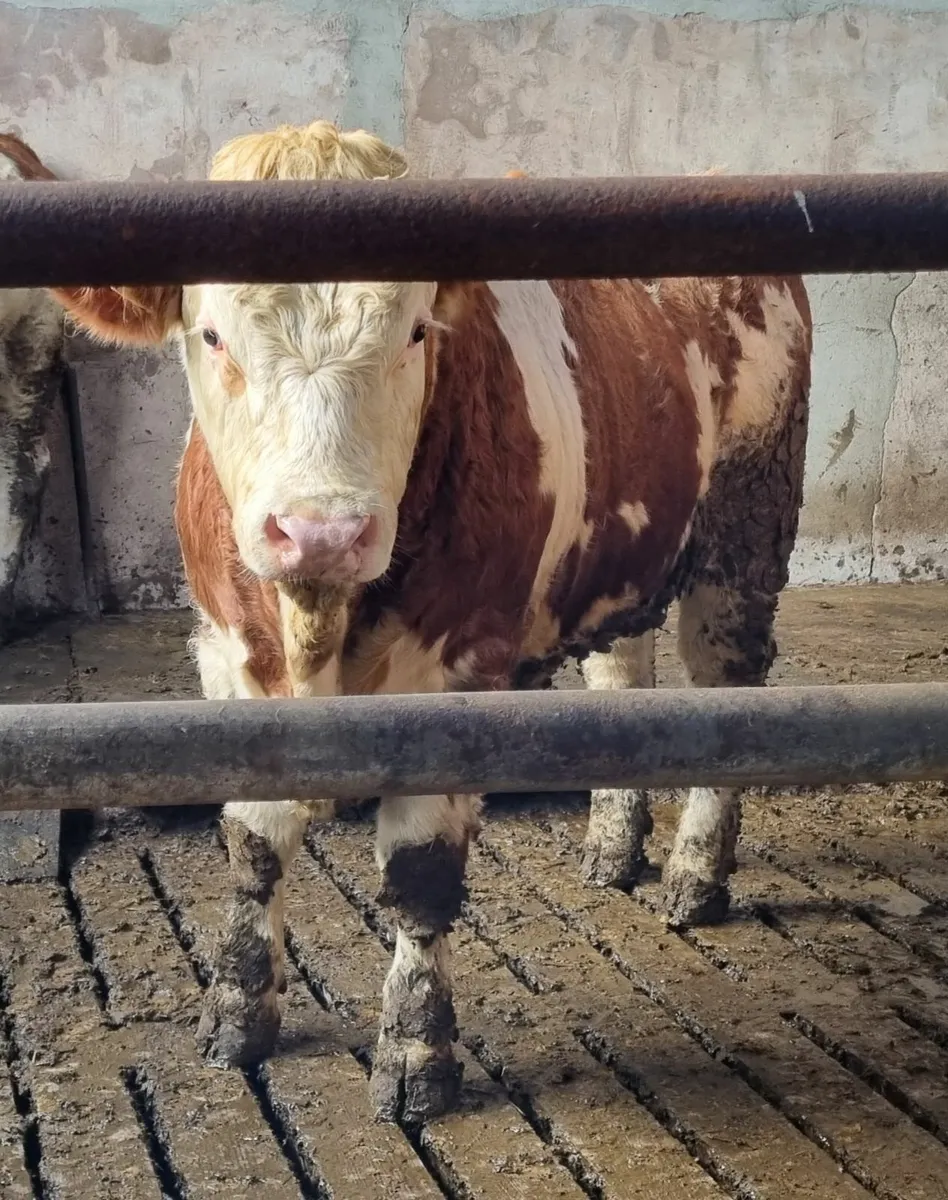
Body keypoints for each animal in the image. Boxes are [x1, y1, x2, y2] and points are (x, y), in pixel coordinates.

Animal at [52, 120, 812, 1124]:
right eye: (211, 333)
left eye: (414, 331)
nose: (322, 530)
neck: (315, 631)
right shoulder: (227, 656)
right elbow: (253, 848)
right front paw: (236, 1014)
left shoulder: (457, 673)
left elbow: (418, 878)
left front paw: (417, 1050)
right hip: (626, 551)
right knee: (623, 677)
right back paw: (613, 849)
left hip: (746, 525)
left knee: (727, 685)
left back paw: (695, 873)